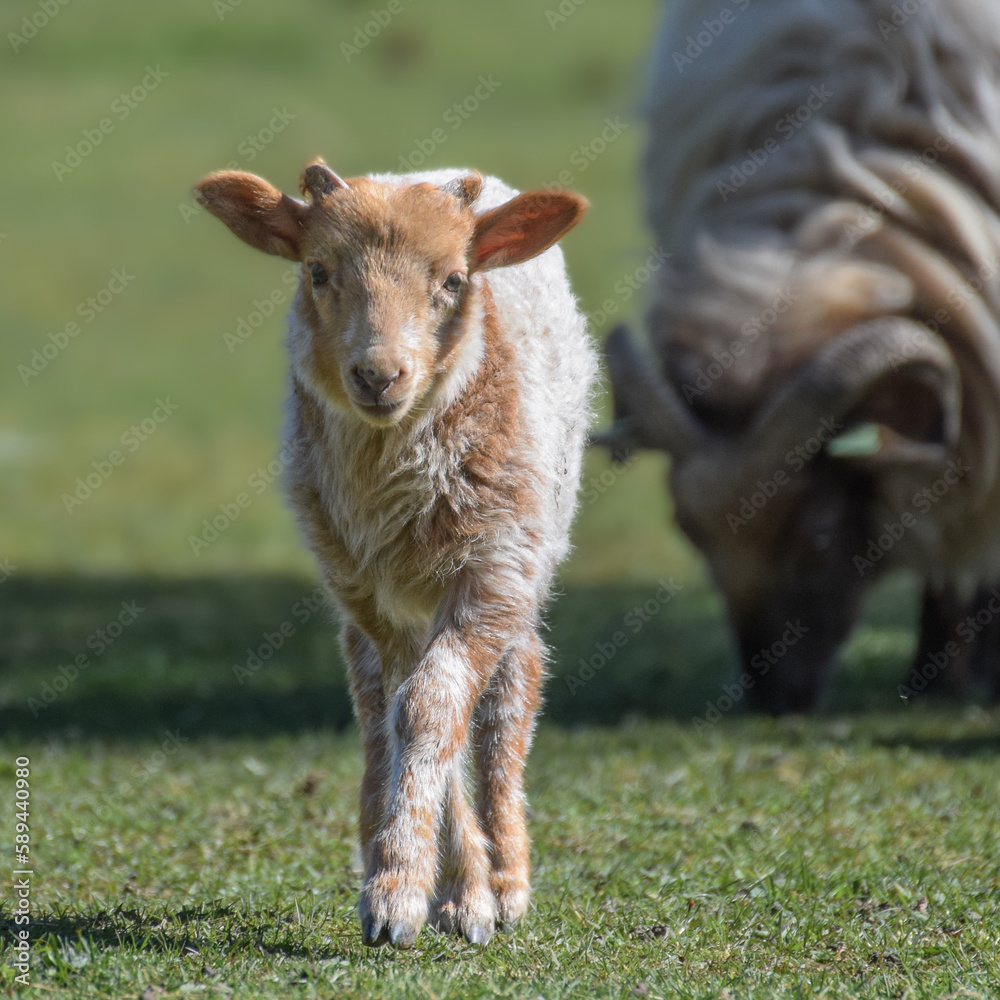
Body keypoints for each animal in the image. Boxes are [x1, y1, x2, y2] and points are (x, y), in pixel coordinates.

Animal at [195, 162, 596, 946]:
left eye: (454, 279)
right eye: (318, 272)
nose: (379, 376)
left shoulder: (496, 566)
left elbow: (436, 708)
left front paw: (430, 895)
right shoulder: (377, 599)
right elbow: (411, 711)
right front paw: (426, 890)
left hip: (529, 551)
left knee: (508, 701)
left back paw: (508, 877)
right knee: (378, 703)